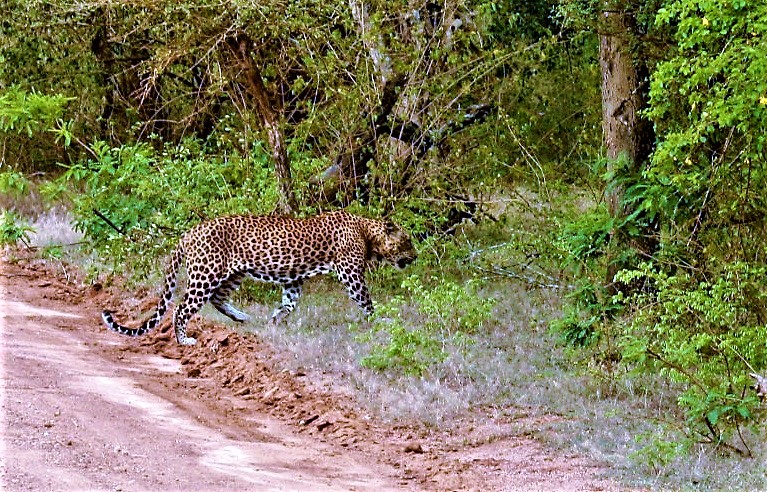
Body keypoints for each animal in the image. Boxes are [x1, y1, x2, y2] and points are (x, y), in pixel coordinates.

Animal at [102, 210, 416, 345]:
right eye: (407, 241)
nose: (415, 256)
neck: (367, 233)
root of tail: (188, 233)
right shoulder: (350, 272)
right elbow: (365, 300)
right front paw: (379, 322)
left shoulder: (293, 279)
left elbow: (288, 304)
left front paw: (274, 323)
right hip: (206, 274)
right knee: (182, 307)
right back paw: (184, 340)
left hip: (232, 273)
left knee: (217, 299)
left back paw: (243, 317)